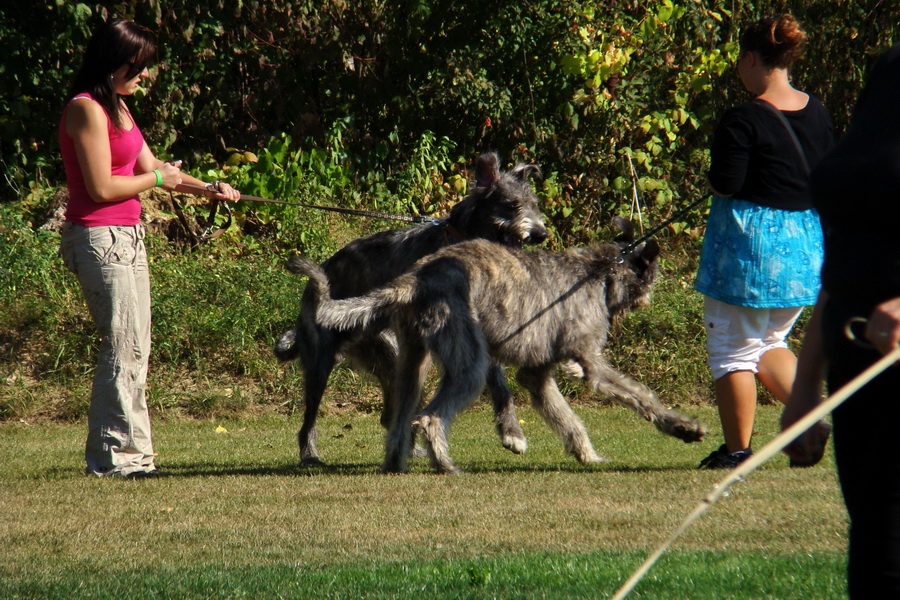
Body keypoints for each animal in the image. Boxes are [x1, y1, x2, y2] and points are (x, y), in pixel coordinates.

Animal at [274, 152, 544, 466]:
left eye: (534, 204)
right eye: (512, 204)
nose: (541, 233)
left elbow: (500, 383)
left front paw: (512, 431)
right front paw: (512, 432)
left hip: (388, 352)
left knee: (390, 411)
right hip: (321, 361)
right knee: (309, 418)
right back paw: (310, 454)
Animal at [286, 218, 704, 476]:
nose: (649, 300)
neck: (599, 273)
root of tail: (415, 278)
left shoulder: (537, 374)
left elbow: (565, 415)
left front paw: (587, 453)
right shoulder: (592, 363)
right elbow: (637, 394)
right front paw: (683, 426)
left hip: (411, 361)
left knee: (401, 419)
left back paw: (396, 463)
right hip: (467, 361)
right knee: (430, 417)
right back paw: (446, 466)